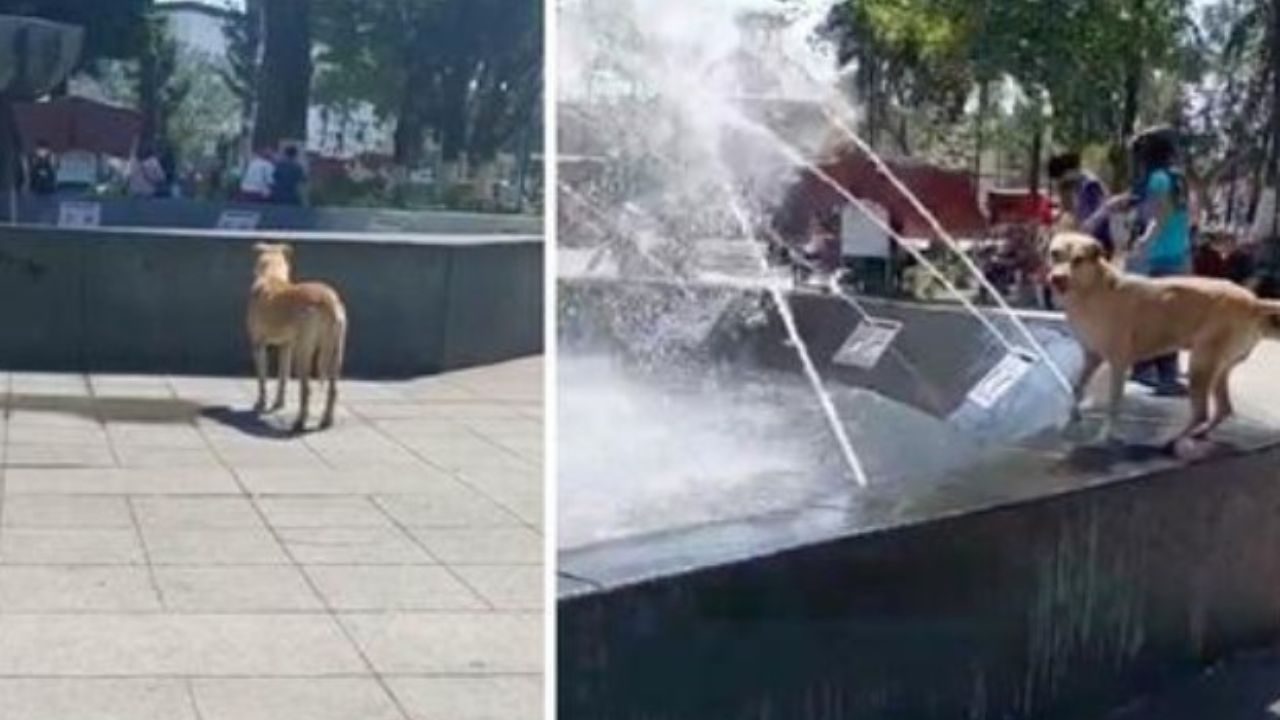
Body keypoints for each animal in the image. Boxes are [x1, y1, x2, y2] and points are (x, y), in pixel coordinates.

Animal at [247, 240, 348, 430]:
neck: (272, 275)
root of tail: (329, 301)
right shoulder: (286, 346)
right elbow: (283, 377)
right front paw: (278, 403)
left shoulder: (258, 345)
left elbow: (262, 378)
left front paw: (261, 403)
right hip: (335, 350)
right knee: (333, 389)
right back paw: (326, 420)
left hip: (304, 351)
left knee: (306, 389)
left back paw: (300, 421)